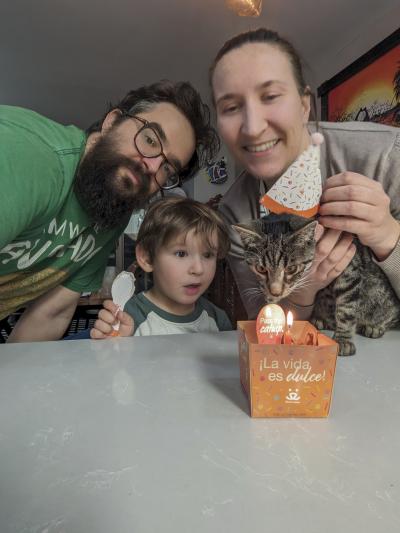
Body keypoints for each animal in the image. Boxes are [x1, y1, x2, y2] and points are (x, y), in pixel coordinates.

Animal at [234, 212, 400, 354]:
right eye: (261, 269)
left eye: (291, 268)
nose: (275, 291)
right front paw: (270, 297)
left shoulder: (349, 274)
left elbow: (346, 310)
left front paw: (343, 339)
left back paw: (374, 326)